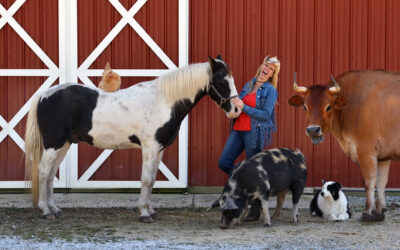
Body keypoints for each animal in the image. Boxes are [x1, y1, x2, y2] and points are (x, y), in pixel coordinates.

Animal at [25, 55, 241, 222]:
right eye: (222, 81)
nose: (236, 110)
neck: (163, 101)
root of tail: (44, 94)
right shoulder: (150, 148)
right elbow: (145, 179)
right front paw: (144, 214)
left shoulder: (159, 150)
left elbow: (152, 180)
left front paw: (150, 210)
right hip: (53, 145)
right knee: (43, 172)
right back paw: (46, 211)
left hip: (64, 145)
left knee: (50, 175)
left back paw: (54, 209)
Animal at [288, 69, 400, 222]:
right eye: (305, 107)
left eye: (328, 107)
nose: (313, 130)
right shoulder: (383, 156)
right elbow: (381, 182)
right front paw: (379, 213)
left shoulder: (366, 150)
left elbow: (369, 182)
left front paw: (367, 213)